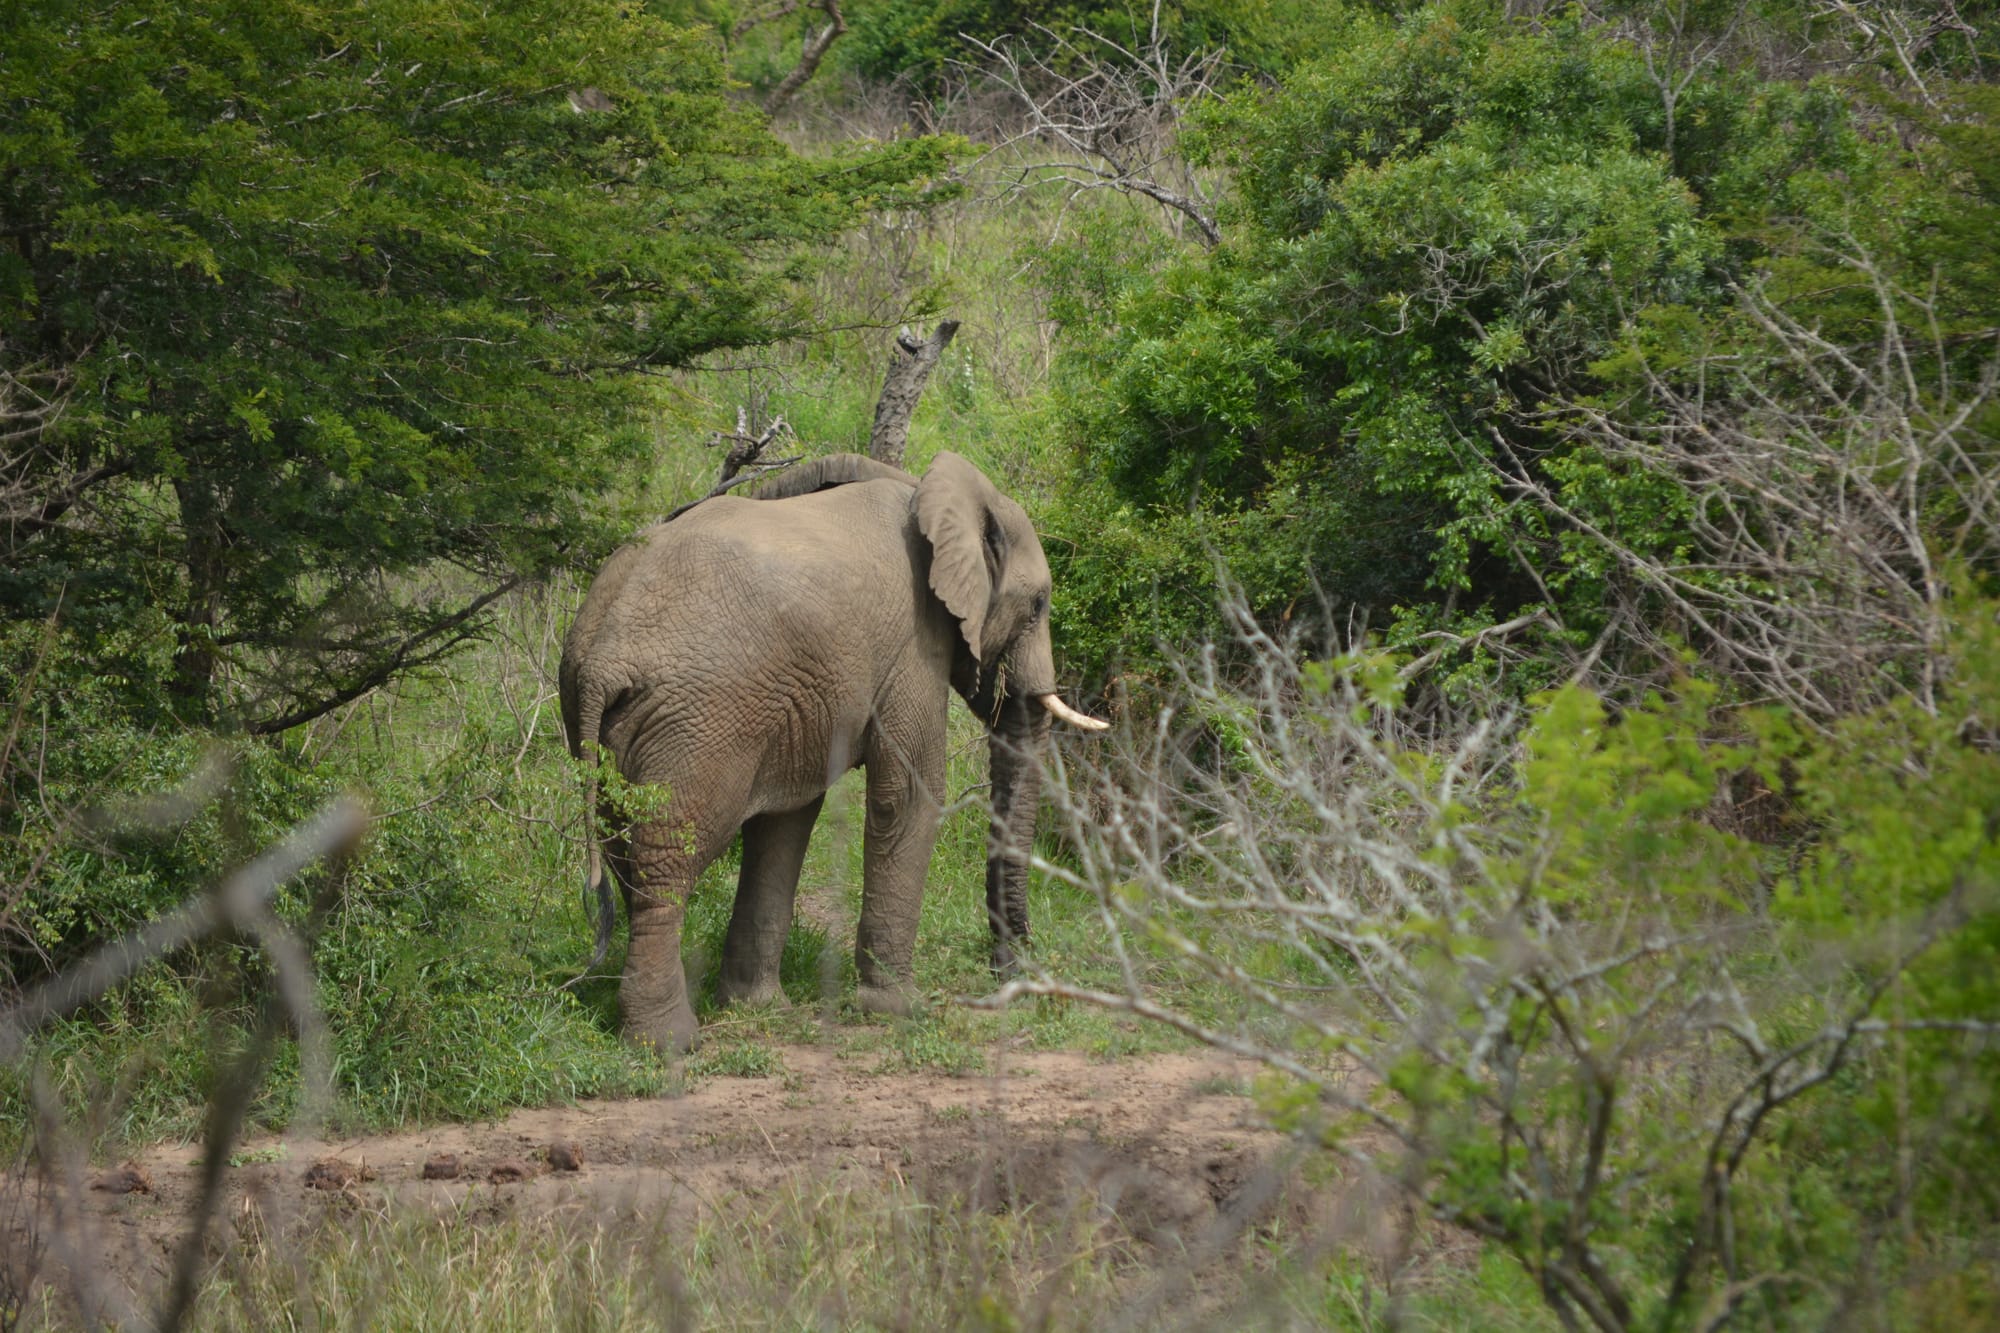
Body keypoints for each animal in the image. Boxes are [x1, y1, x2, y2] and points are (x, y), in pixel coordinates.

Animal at [559, 451, 1107, 1052]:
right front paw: (901, 1010)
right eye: (1038, 605)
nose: (1011, 971)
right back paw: (669, 1042)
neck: (924, 488)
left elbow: (787, 819)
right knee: (668, 861)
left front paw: (762, 1008)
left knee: (626, 853)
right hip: (694, 721)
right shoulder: (914, 646)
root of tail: (603, 655)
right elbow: (908, 797)